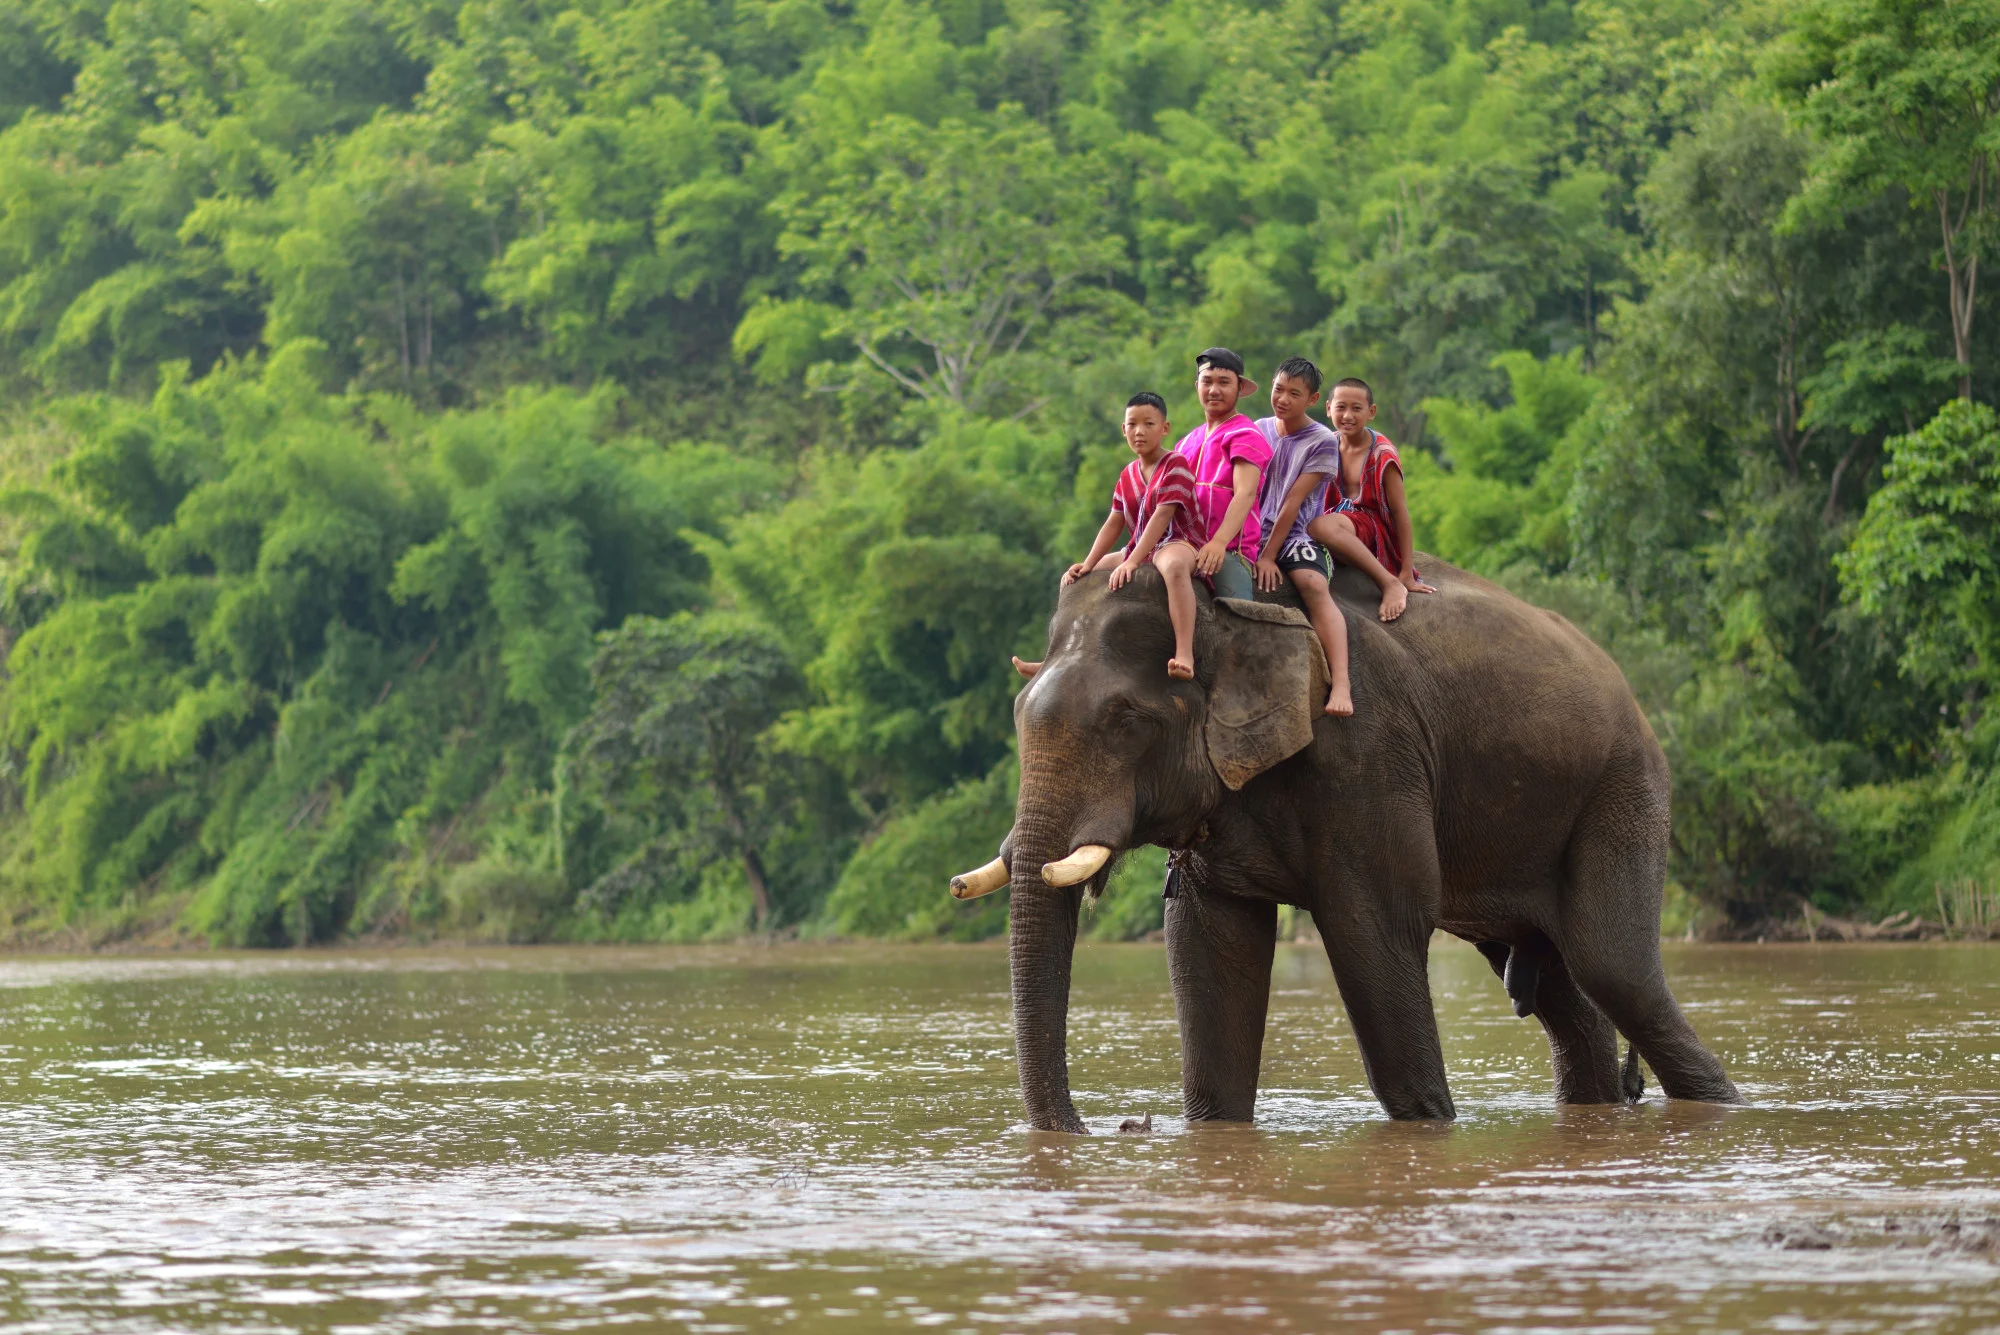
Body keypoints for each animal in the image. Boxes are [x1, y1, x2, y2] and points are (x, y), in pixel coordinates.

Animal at [948, 559, 1736, 1135]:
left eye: (1124, 720)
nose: (1104, 1127)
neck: (1232, 612)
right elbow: (1208, 944)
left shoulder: (1367, 751)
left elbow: (1375, 934)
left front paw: (1429, 1125)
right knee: (1559, 989)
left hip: (1623, 788)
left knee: (1613, 968)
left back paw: (1720, 1103)